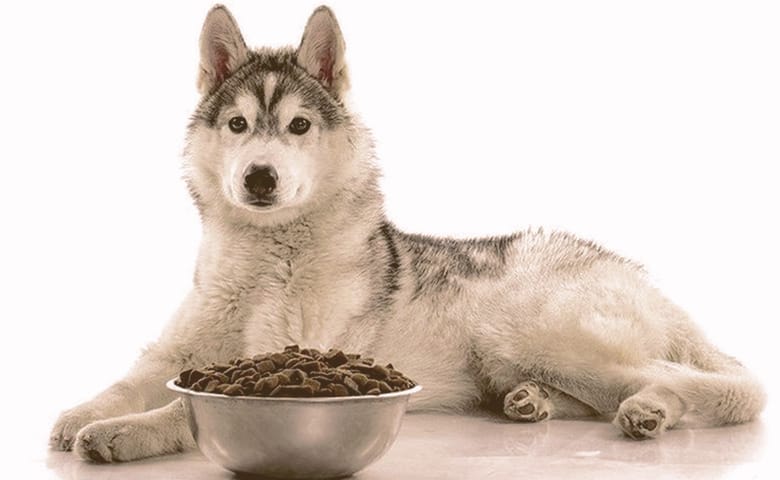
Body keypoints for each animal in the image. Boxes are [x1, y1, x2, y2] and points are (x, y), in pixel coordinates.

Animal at [47, 3, 760, 462]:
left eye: (299, 126)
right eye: (239, 125)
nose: (259, 177)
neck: (264, 262)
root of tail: (629, 268)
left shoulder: (273, 361)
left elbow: (182, 408)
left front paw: (123, 433)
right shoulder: (176, 351)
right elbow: (126, 382)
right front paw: (81, 413)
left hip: (530, 331)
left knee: (726, 386)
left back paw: (653, 407)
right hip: (514, 354)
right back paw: (535, 402)